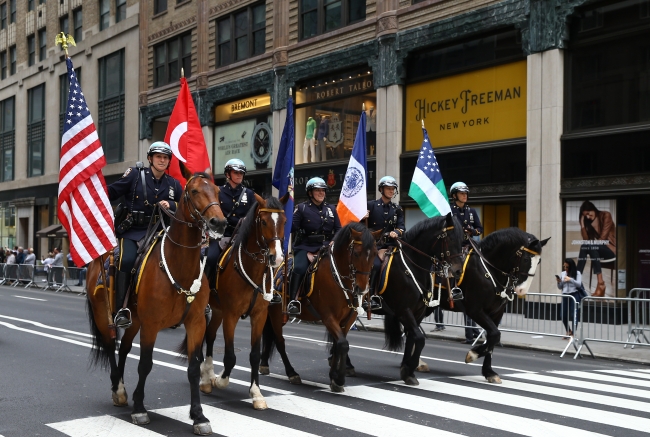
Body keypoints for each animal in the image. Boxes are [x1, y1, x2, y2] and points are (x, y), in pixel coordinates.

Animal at [86, 163, 227, 432]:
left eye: (217, 190)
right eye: (194, 191)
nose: (219, 222)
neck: (179, 266)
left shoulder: (196, 323)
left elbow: (193, 368)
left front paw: (198, 415)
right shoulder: (151, 325)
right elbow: (145, 364)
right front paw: (140, 409)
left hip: (135, 320)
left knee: (124, 347)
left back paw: (122, 389)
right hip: (103, 315)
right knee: (110, 346)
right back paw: (118, 388)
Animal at [197, 194, 286, 408]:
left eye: (285, 221)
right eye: (264, 222)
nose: (278, 257)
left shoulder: (259, 316)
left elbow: (254, 355)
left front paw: (256, 393)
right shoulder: (232, 314)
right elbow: (230, 356)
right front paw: (220, 380)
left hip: (218, 310)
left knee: (210, 335)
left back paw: (207, 375)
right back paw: (205, 379)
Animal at [258, 221, 380, 392]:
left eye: (375, 253)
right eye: (356, 254)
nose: (362, 289)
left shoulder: (348, 319)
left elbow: (338, 344)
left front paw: (333, 376)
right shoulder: (328, 317)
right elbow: (343, 344)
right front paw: (339, 379)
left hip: (280, 315)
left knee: (270, 335)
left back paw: (264, 364)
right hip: (275, 313)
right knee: (279, 341)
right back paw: (291, 373)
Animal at [384, 227, 548, 384]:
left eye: (539, 261)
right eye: (526, 259)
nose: (522, 290)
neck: (487, 268)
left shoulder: (497, 313)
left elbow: (493, 338)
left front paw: (489, 372)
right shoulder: (475, 310)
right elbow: (494, 335)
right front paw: (473, 354)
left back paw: (416, 363)